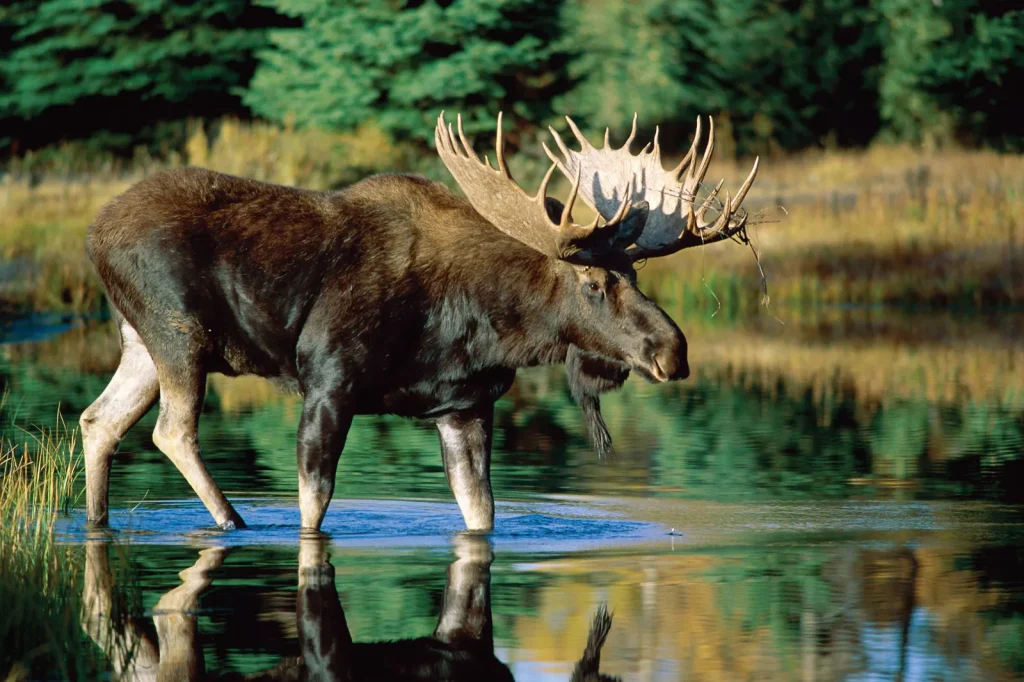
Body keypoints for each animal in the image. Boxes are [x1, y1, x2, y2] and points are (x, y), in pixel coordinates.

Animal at [79, 111, 759, 532]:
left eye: (636, 275)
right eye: (594, 284)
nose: (673, 351)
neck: (479, 326)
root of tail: (94, 232)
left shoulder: (464, 405)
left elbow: (481, 513)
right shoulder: (328, 380)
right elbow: (313, 507)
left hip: (140, 340)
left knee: (98, 420)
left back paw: (98, 522)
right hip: (177, 331)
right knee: (171, 430)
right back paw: (232, 521)